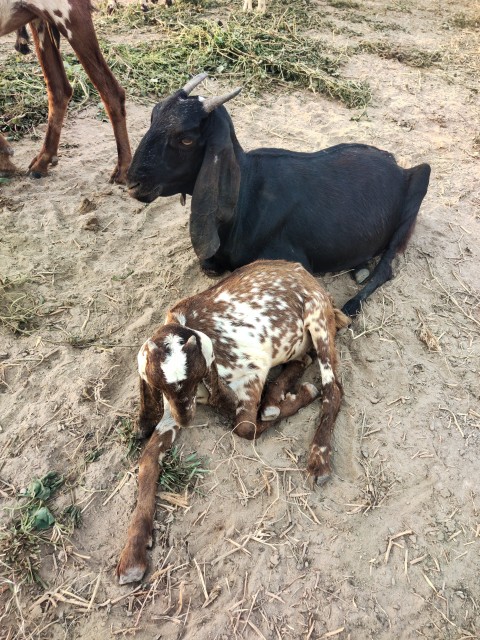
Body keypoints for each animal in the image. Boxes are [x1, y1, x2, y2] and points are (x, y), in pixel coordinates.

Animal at [0, 0, 131, 182]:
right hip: (41, 19)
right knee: (59, 88)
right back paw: (43, 160)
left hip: (68, 14)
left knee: (110, 90)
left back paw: (123, 169)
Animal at [116, 259, 350, 584]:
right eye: (159, 386)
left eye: (195, 378)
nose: (186, 419)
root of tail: (298, 268)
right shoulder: (170, 413)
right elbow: (148, 461)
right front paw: (134, 552)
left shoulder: (251, 374)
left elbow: (245, 427)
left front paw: (288, 400)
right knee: (303, 359)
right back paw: (280, 391)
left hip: (317, 319)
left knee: (332, 389)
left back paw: (317, 454)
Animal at [126, 73, 431, 317]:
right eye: (153, 117)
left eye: (186, 139)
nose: (132, 182)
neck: (247, 195)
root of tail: (396, 166)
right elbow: (209, 264)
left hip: (420, 181)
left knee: (387, 267)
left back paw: (354, 301)